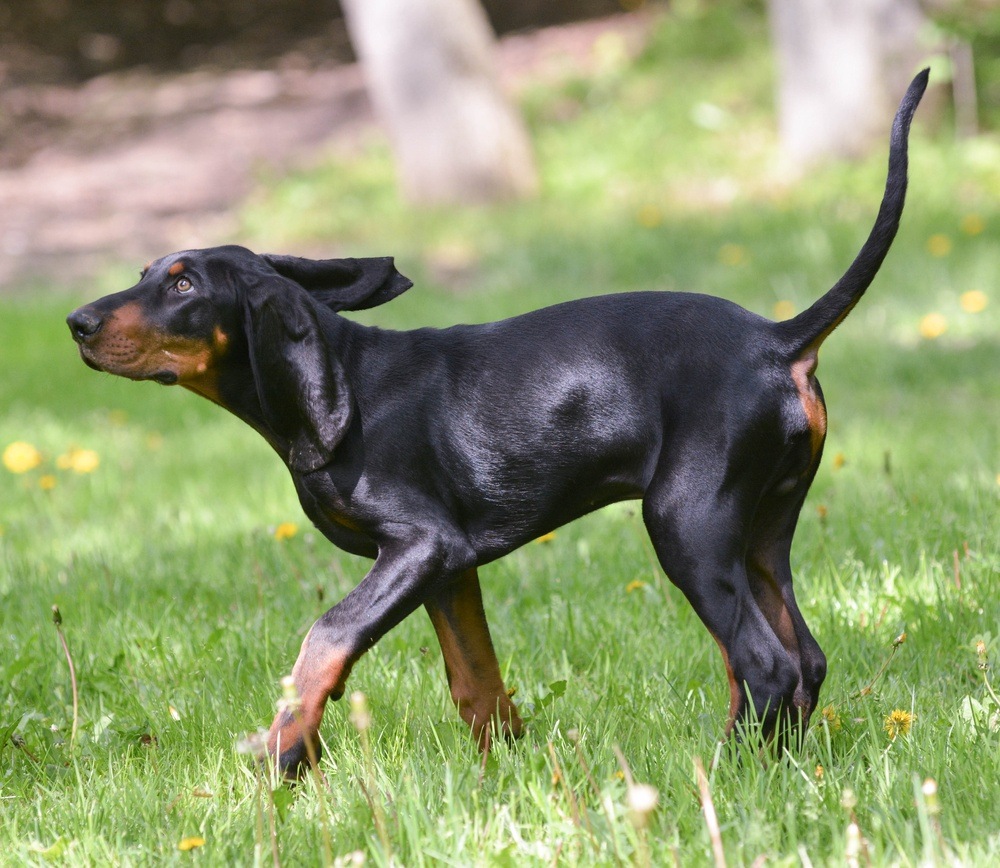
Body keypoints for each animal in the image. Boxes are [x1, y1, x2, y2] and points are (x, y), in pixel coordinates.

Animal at [68, 69, 928, 772]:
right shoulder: (450, 572)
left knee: (764, 663)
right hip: (761, 531)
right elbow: (474, 681)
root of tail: (777, 338)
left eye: (183, 285)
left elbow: (327, 634)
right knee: (799, 659)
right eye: (146, 271)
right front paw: (506, 773)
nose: (76, 322)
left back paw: (727, 773)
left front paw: (286, 749)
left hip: (688, 522)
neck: (343, 383)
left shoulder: (422, 545)